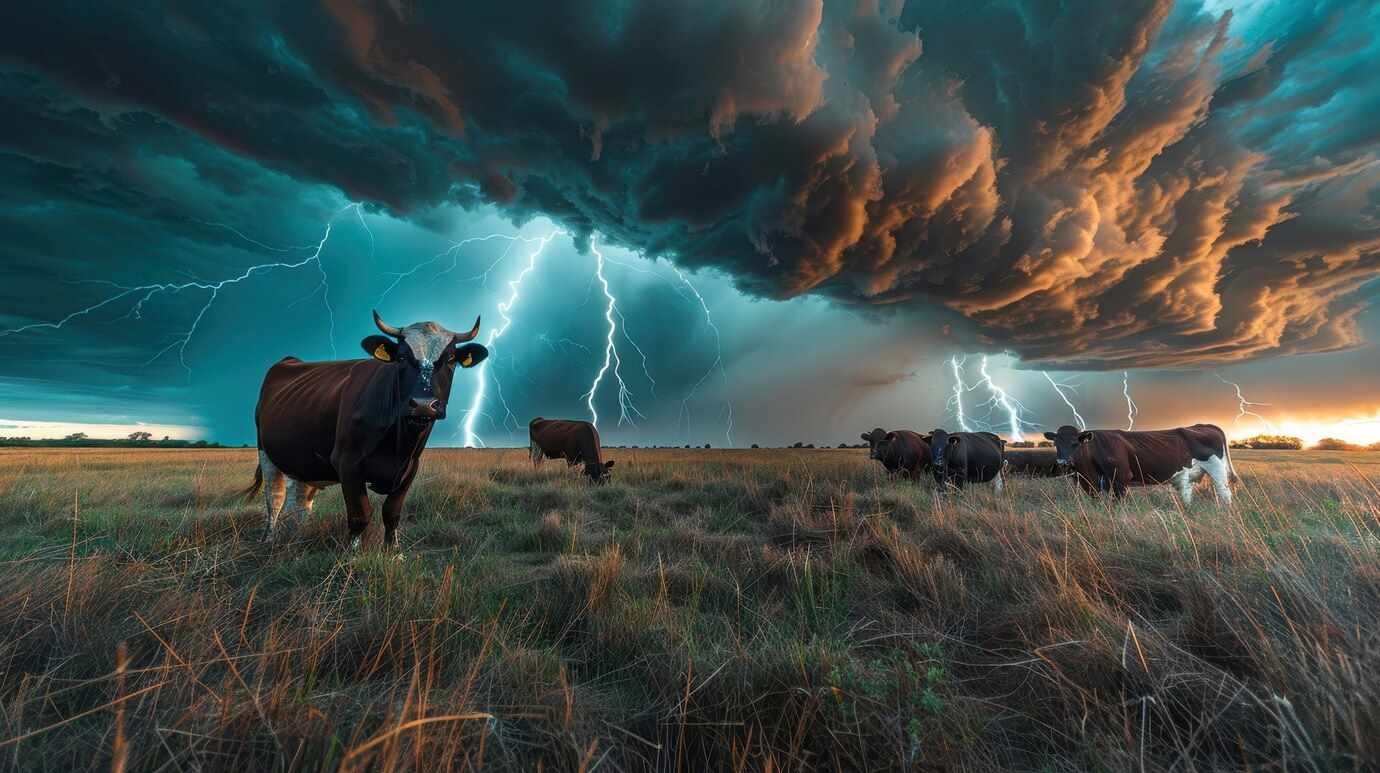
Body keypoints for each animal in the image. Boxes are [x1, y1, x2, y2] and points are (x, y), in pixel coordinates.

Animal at [245, 309, 488, 549]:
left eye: (450, 359)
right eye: (401, 357)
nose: (423, 404)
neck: (398, 443)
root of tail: (289, 361)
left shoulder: (410, 468)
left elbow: (392, 514)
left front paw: (393, 552)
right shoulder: (347, 463)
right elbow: (360, 515)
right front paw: (351, 554)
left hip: (304, 461)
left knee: (299, 504)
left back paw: (296, 540)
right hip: (265, 453)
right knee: (275, 499)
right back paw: (269, 540)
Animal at [1043, 422, 1242, 507]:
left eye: (1075, 443)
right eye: (1056, 444)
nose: (1063, 462)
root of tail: (1204, 425)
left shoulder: (1121, 479)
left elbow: (1118, 505)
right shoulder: (1089, 484)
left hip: (1217, 470)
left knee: (1225, 494)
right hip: (1188, 477)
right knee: (1188, 494)